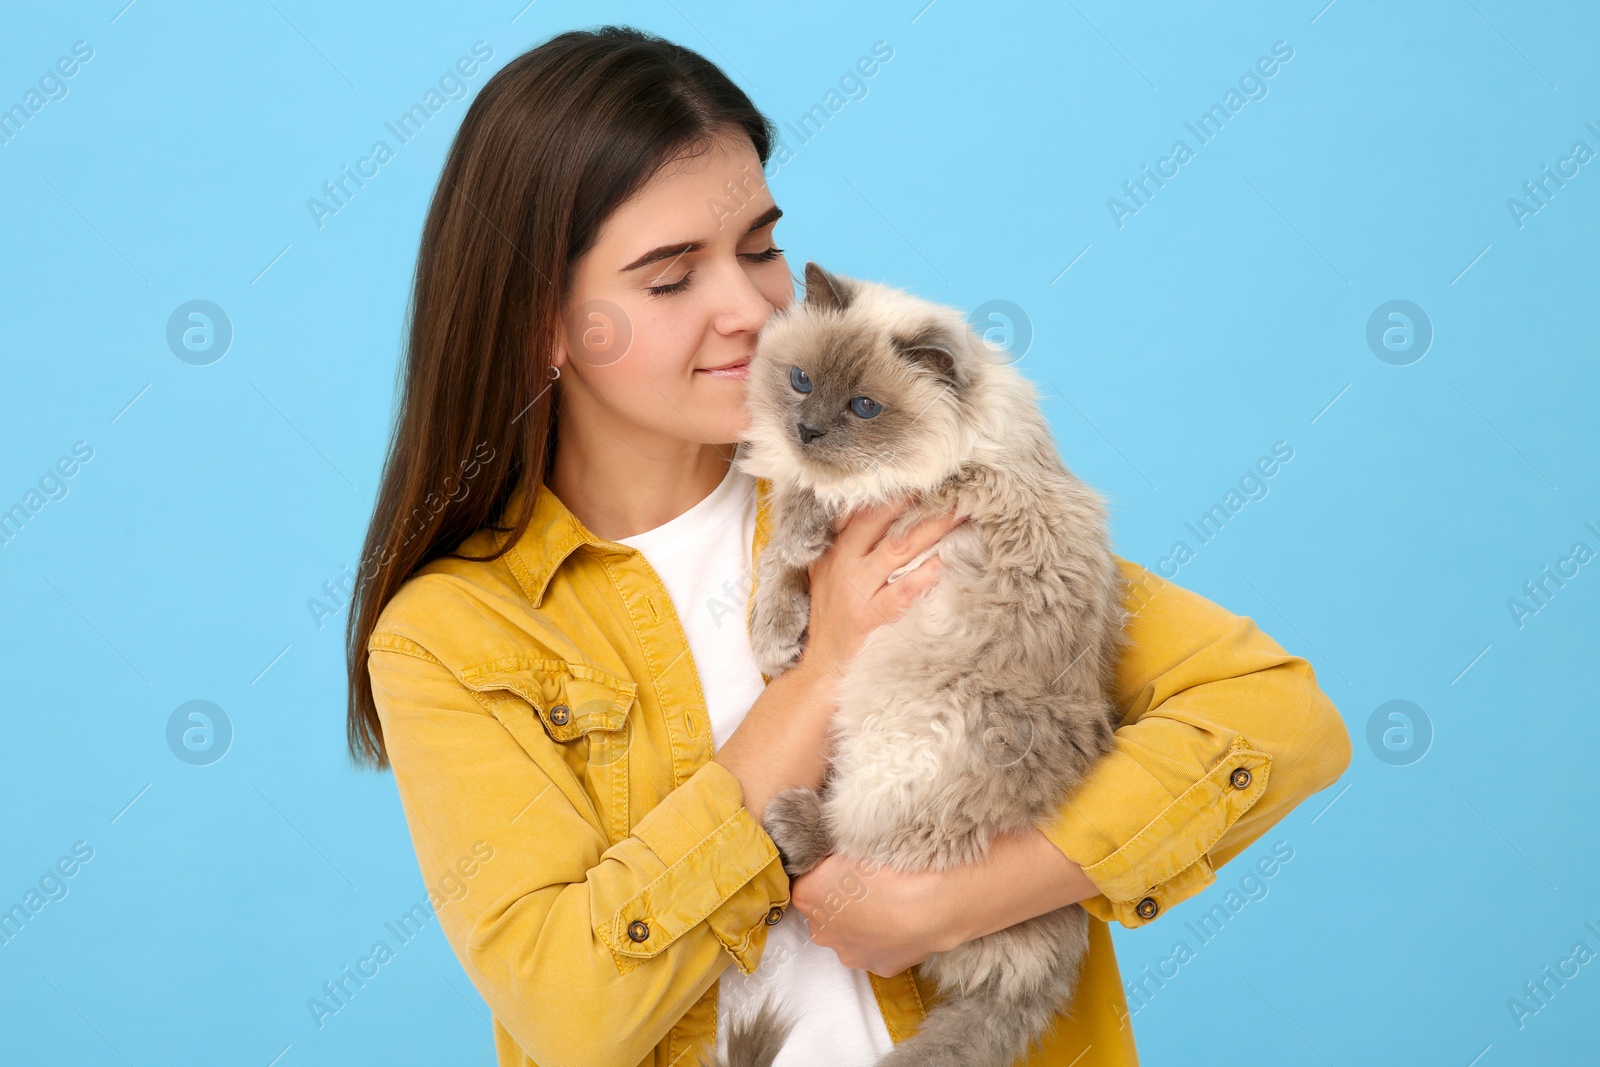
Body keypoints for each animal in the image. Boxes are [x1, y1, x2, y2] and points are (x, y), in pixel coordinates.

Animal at [700, 265, 1126, 1067]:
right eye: (801, 382)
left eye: (864, 407)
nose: (807, 431)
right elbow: (780, 561)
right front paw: (777, 637)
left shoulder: (926, 488)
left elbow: (814, 502)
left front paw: (801, 534)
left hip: (919, 729)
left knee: (876, 846)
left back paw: (796, 824)